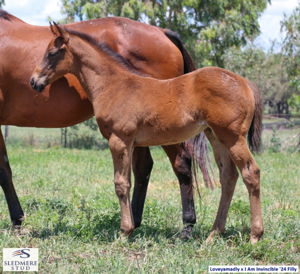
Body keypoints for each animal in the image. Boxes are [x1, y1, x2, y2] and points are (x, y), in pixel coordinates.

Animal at [0, 8, 206, 235]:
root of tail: (163, 33)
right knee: (144, 168)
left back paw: (186, 227)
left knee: (181, 163)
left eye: (52, 53)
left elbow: (4, 170)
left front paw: (17, 221)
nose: (34, 82)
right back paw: (136, 220)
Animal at [30, 23, 264, 242]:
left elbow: (121, 184)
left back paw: (255, 235)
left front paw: (124, 233)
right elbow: (130, 181)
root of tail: (245, 83)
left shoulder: (119, 140)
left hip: (233, 137)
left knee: (250, 172)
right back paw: (214, 234)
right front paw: (129, 228)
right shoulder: (131, 144)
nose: (34, 81)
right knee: (229, 177)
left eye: (52, 52)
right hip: (215, 136)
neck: (114, 85)